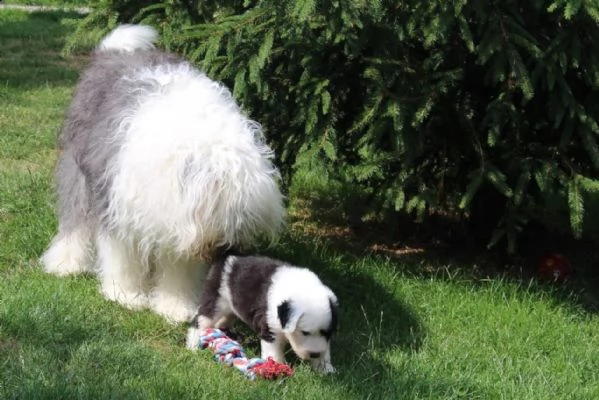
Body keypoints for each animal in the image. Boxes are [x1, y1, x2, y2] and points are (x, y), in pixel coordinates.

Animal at [39, 25, 286, 322]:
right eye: (221, 214)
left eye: (244, 219)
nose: (229, 250)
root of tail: (112, 53)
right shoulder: (121, 207)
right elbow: (123, 256)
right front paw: (126, 296)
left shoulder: (177, 226)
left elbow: (179, 266)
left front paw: (176, 307)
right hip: (80, 172)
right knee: (75, 219)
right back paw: (66, 264)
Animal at [185, 255, 340, 374]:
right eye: (305, 333)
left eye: (326, 333)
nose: (314, 354)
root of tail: (227, 259)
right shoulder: (270, 328)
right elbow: (273, 352)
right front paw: (277, 367)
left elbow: (325, 350)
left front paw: (326, 369)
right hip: (215, 301)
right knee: (199, 322)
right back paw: (193, 346)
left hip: (232, 307)